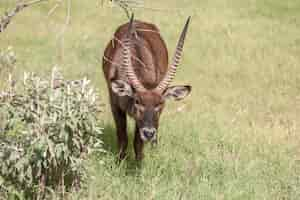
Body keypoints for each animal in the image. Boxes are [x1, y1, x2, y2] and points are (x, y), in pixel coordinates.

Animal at [102, 14, 192, 161]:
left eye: (160, 103)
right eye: (137, 101)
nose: (149, 133)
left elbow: (138, 144)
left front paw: (139, 164)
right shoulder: (114, 105)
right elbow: (122, 138)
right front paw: (119, 162)